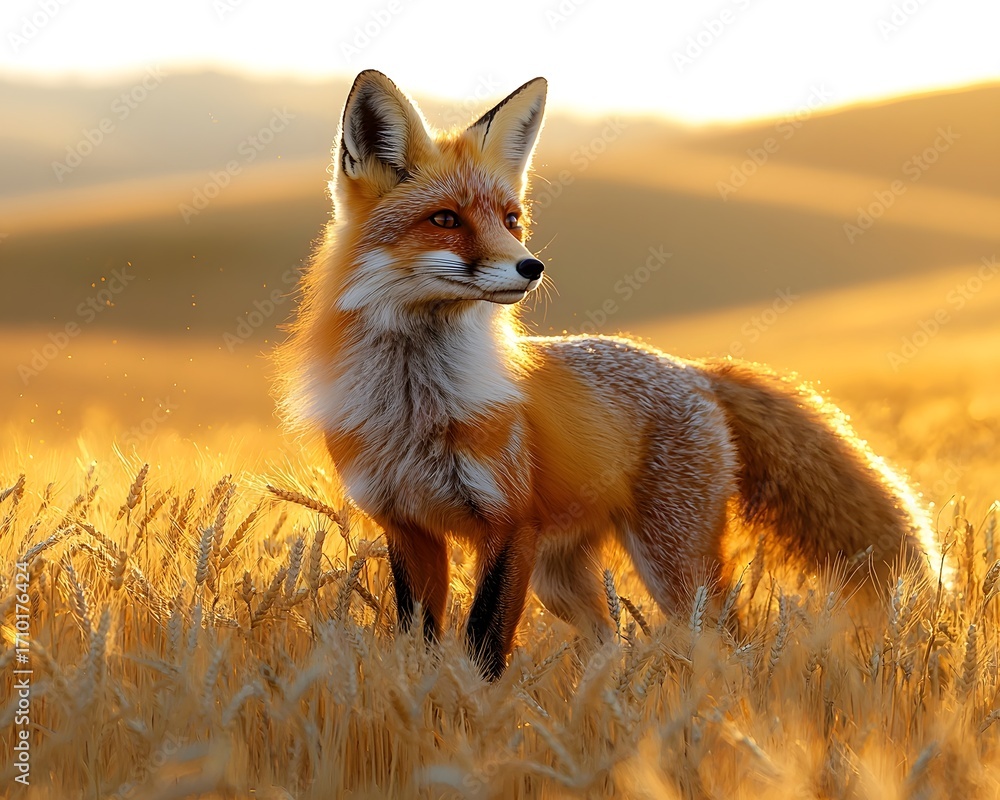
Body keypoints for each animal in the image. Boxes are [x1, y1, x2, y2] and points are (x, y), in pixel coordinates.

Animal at [276, 70, 940, 680]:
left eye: (511, 219)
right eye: (445, 220)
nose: (532, 266)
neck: (416, 401)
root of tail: (693, 369)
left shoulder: (507, 525)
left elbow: (484, 648)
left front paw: (477, 717)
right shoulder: (407, 526)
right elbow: (422, 645)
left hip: (670, 565)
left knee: (732, 644)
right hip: (562, 579)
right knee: (611, 643)